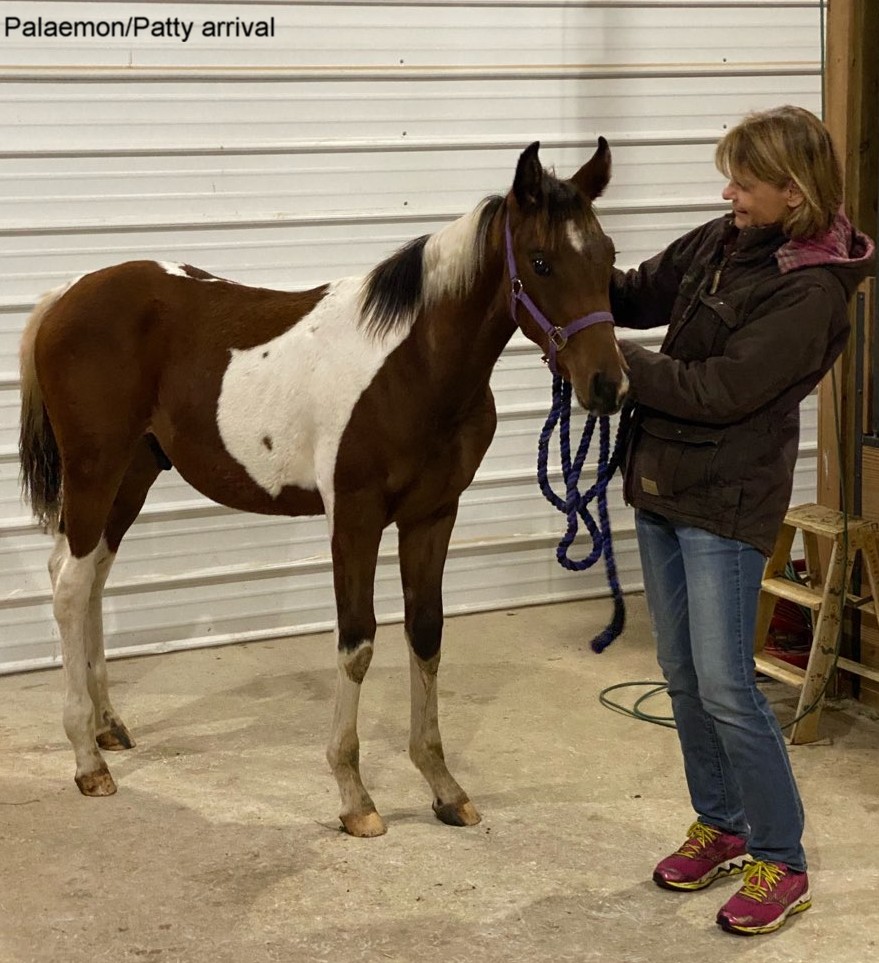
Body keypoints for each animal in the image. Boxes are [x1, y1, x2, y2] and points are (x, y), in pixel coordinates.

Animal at [18, 139, 627, 837]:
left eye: (608, 255)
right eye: (541, 260)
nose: (609, 386)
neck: (413, 367)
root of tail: (68, 294)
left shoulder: (432, 515)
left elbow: (426, 633)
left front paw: (443, 786)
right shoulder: (355, 517)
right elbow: (357, 642)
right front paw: (354, 796)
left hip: (133, 474)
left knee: (89, 576)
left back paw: (108, 726)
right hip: (95, 469)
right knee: (70, 585)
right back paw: (87, 758)